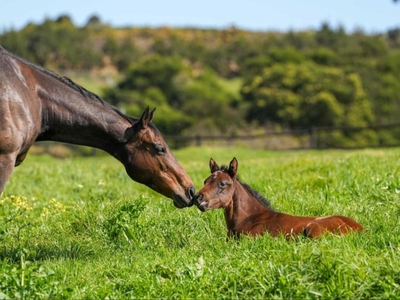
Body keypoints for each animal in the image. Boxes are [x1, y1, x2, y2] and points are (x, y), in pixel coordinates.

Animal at [194, 157, 362, 239]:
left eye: (222, 183)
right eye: (205, 181)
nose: (198, 197)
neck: (249, 218)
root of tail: (360, 230)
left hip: (313, 229)